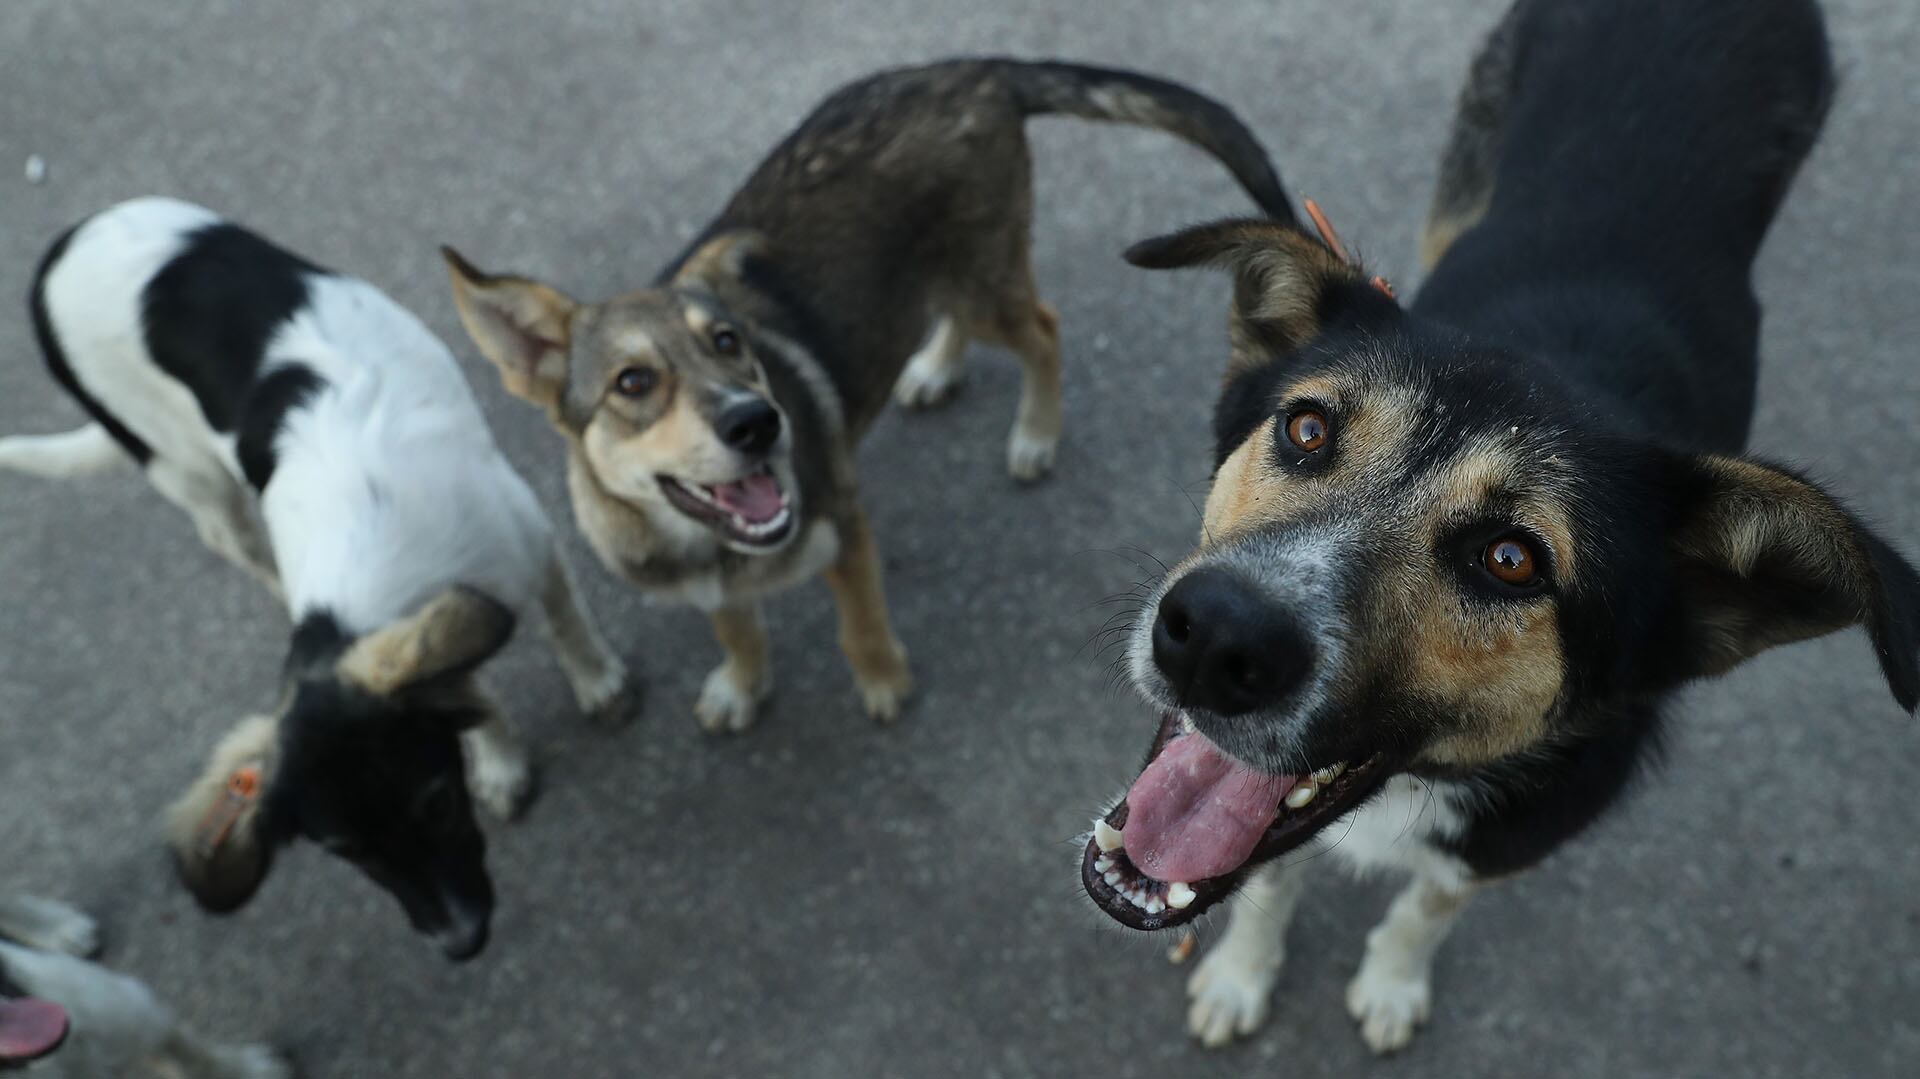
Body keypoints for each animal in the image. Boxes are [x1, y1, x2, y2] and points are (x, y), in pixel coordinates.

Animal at [0, 197, 633, 952]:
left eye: (435, 804)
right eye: (345, 851)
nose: (459, 942)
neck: (362, 593)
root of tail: (55, 257)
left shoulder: (525, 534)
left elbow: (562, 622)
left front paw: (596, 682)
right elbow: (468, 687)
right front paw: (500, 756)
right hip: (188, 476)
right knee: (237, 539)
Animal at [441, 56, 1297, 729]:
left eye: (729, 344)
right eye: (633, 382)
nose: (760, 424)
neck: (708, 539)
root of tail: (977, 70)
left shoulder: (846, 528)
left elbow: (858, 623)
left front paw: (884, 681)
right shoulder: (708, 584)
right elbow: (738, 630)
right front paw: (743, 685)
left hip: (981, 276)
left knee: (1043, 330)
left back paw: (1034, 433)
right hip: (939, 276)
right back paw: (934, 367)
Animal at [1075, 0, 1912, 1052]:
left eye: (1511, 559)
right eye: (1307, 429)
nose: (1215, 636)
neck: (1419, 782)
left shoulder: (1508, 840)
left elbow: (1427, 905)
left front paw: (1391, 981)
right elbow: (1268, 879)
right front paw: (1240, 973)